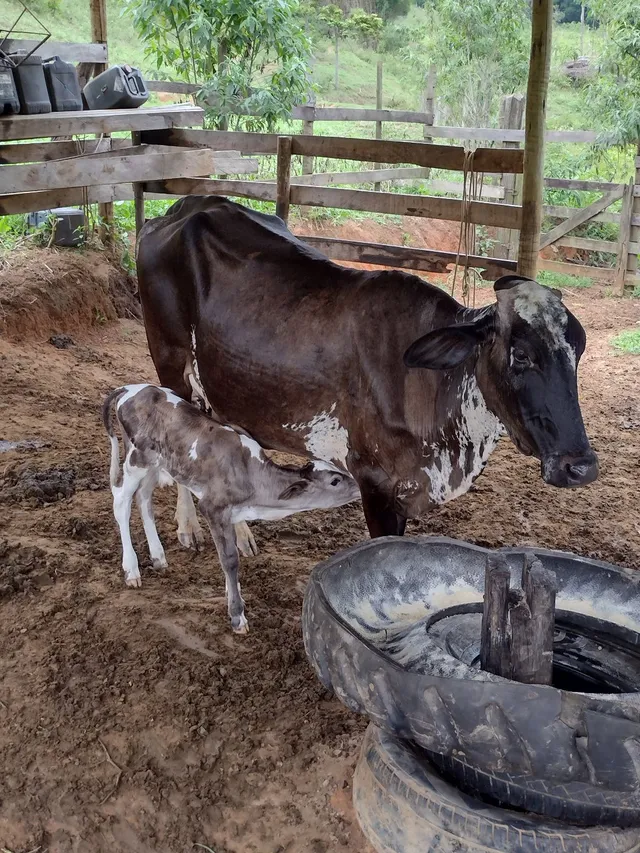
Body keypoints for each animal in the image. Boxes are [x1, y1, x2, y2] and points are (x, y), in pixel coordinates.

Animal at [102, 383, 359, 632]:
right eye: (335, 480)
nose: (359, 484)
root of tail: (130, 388)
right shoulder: (212, 508)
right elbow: (230, 559)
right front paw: (237, 616)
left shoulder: (233, 514)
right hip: (136, 460)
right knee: (121, 501)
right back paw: (131, 569)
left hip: (155, 464)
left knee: (144, 497)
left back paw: (158, 557)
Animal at [136, 195, 598, 546]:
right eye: (520, 355)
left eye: (578, 350)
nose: (581, 467)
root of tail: (183, 207)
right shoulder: (374, 481)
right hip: (169, 359)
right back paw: (189, 526)